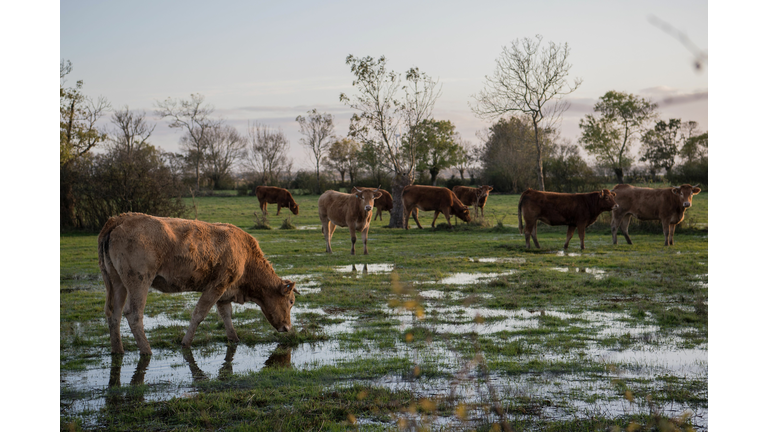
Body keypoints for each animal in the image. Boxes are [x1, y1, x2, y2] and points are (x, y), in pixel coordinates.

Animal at [99, 211, 296, 356]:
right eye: (291, 301)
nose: (288, 327)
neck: (246, 256)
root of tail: (120, 218)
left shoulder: (225, 292)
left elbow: (226, 315)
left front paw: (234, 338)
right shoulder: (217, 286)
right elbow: (199, 314)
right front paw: (186, 342)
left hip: (117, 282)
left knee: (114, 313)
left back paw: (118, 350)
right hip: (139, 281)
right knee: (133, 313)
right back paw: (146, 351)